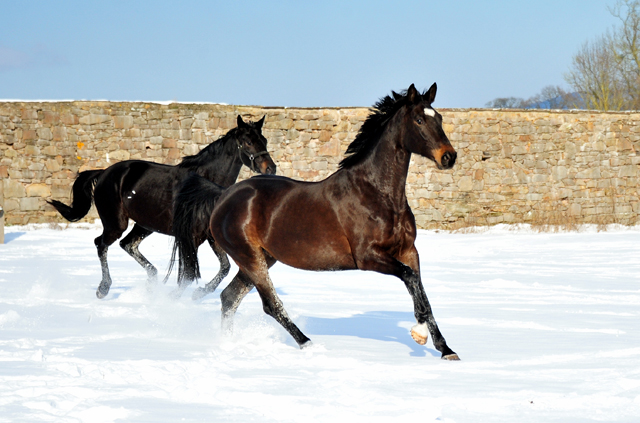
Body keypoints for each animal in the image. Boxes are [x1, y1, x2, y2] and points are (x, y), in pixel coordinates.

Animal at [49, 116, 276, 300]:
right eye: (248, 142)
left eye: (264, 140)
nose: (271, 169)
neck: (206, 187)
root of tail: (104, 172)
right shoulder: (189, 238)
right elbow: (189, 273)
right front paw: (174, 297)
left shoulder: (209, 236)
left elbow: (225, 267)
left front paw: (200, 292)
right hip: (116, 223)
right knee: (101, 244)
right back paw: (103, 289)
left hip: (145, 224)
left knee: (127, 244)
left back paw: (151, 282)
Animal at [172, 83, 458, 362]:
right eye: (419, 120)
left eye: (439, 118)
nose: (449, 157)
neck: (376, 193)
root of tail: (223, 196)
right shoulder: (368, 257)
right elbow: (410, 279)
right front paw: (419, 332)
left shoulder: (409, 251)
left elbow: (420, 289)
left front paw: (445, 349)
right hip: (250, 258)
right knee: (269, 304)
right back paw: (307, 344)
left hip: (261, 258)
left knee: (229, 298)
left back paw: (228, 344)